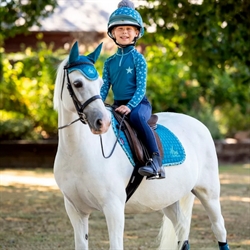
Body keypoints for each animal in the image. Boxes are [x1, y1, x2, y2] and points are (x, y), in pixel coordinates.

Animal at [53, 41, 229, 250]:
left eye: (99, 83)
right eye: (78, 83)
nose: (102, 122)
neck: (78, 153)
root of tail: (199, 124)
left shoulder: (113, 207)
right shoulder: (75, 210)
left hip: (208, 194)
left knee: (219, 229)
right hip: (169, 199)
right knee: (182, 231)